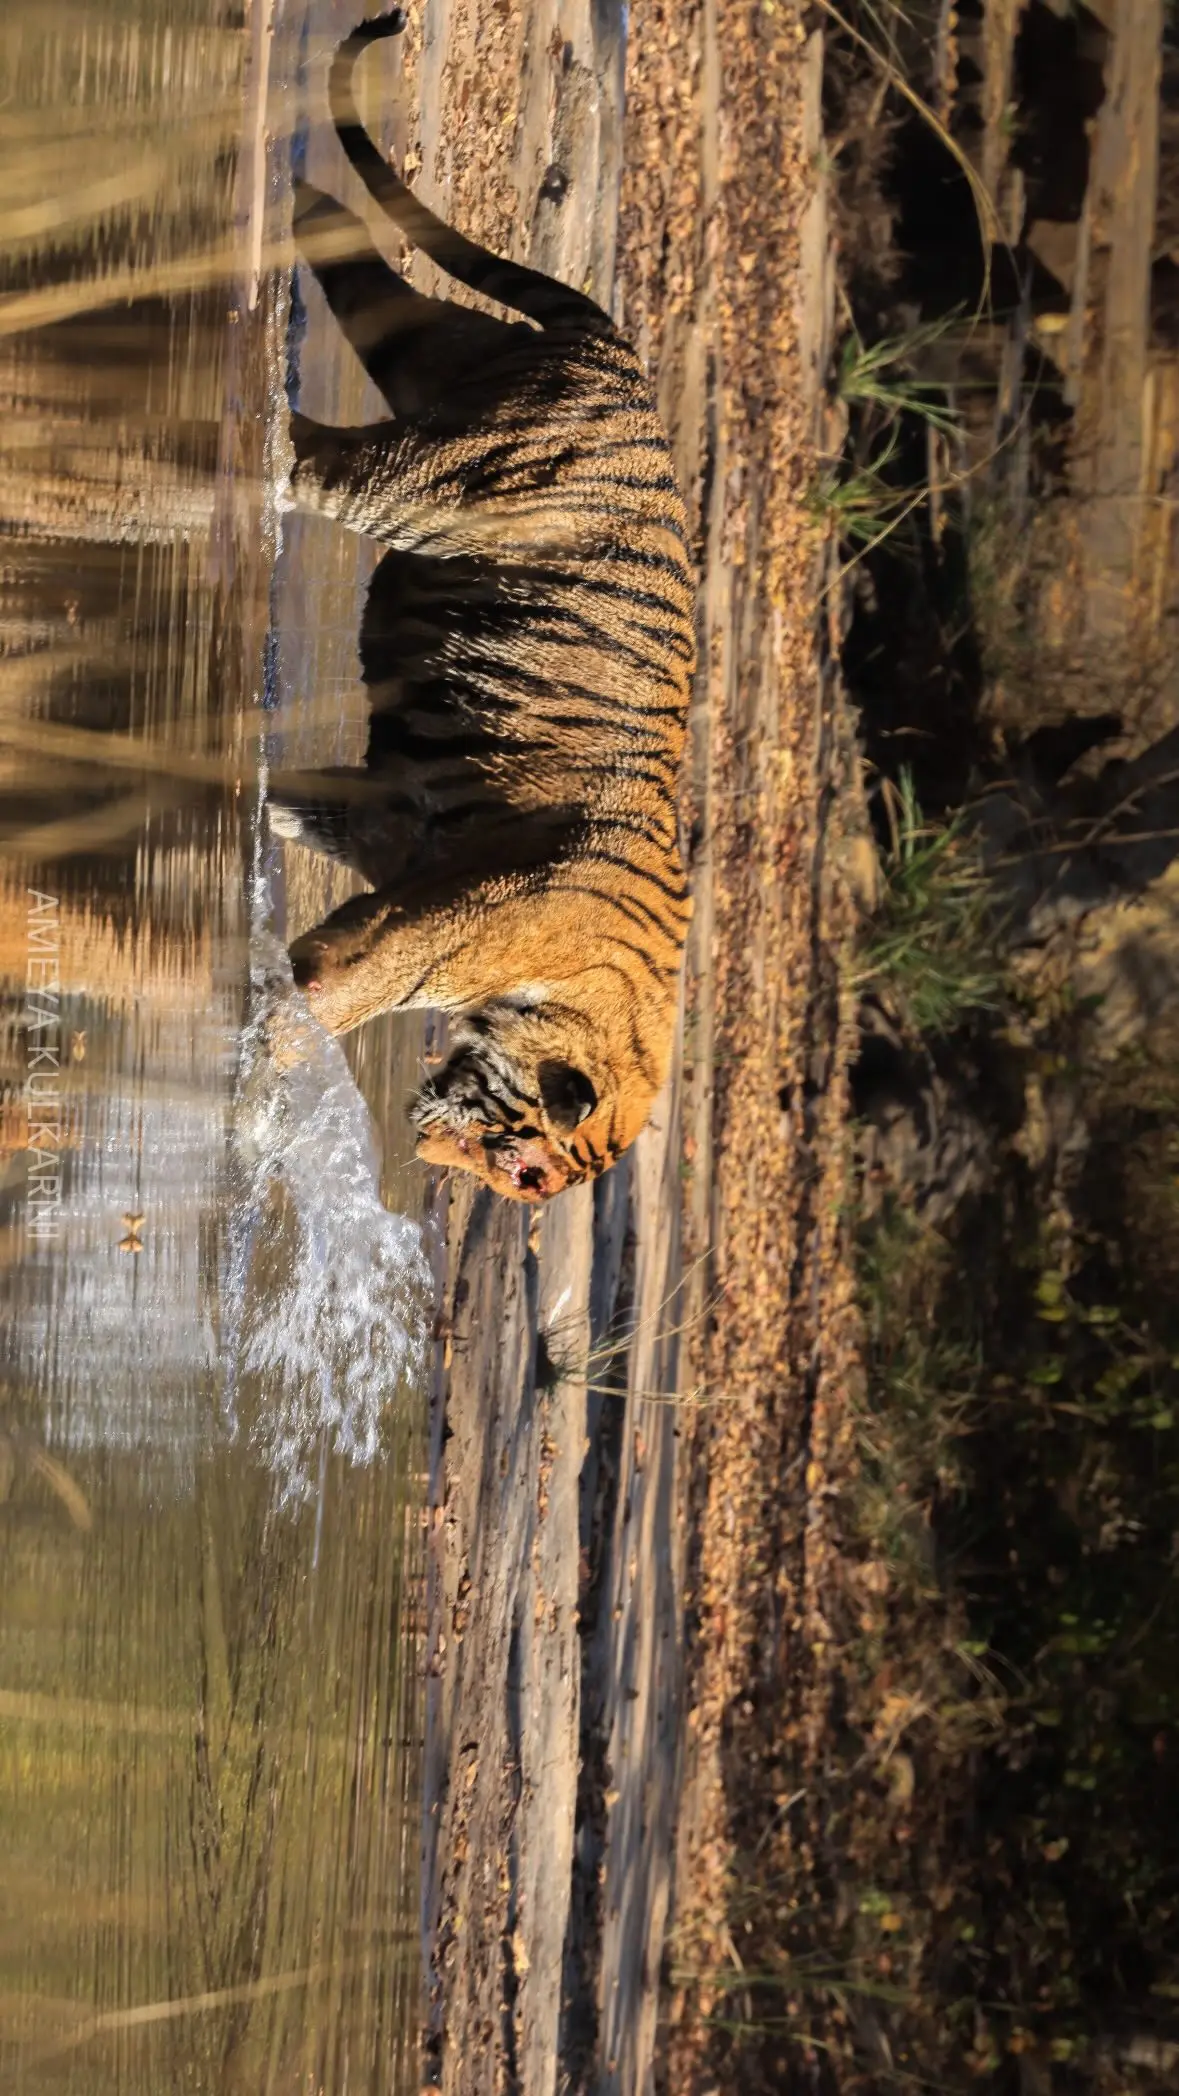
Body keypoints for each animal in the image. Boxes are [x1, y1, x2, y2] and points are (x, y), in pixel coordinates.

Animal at [272, 8, 696, 1207]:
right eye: (518, 1158)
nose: (429, 1151)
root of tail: (620, 350)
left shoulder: (387, 827)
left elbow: (302, 806)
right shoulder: (417, 931)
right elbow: (324, 997)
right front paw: (266, 1068)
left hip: (427, 350)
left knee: (345, 237)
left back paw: (284, 194)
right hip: (437, 483)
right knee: (321, 464)